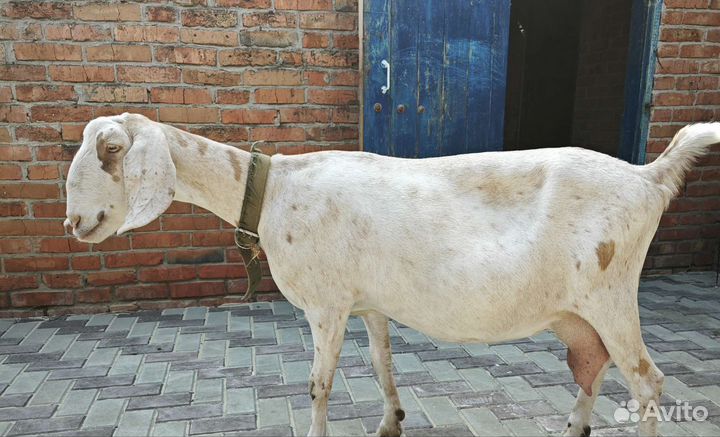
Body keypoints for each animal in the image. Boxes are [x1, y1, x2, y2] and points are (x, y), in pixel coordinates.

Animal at [65, 113, 720, 437]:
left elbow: (318, 386)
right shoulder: (369, 302)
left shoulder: (326, 306)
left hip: (611, 290)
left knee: (647, 381)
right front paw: (390, 422)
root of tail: (648, 177)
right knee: (594, 362)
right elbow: (382, 364)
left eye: (112, 150)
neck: (274, 190)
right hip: (578, 309)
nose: (75, 223)